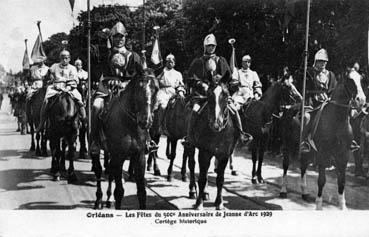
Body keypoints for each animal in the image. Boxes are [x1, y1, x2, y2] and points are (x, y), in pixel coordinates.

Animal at [91, 69, 158, 210]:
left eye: (156, 89)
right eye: (138, 88)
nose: (146, 120)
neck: (129, 124)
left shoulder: (139, 156)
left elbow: (142, 192)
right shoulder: (118, 156)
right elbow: (119, 192)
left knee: (110, 171)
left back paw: (108, 199)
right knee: (98, 170)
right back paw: (98, 200)